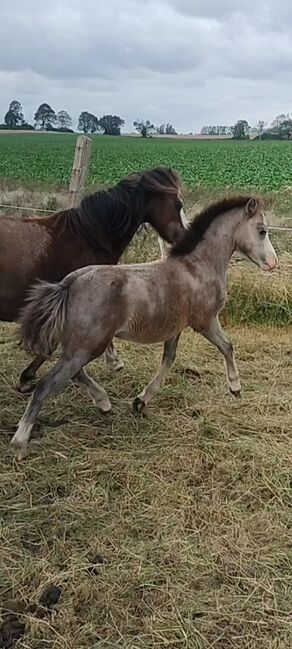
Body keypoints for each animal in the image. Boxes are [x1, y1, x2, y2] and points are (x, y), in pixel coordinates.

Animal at [11, 195, 278, 458]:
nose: (273, 263)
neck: (198, 266)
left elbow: (168, 359)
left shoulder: (175, 328)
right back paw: (20, 443)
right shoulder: (204, 321)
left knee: (74, 374)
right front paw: (235, 387)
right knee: (46, 386)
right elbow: (227, 346)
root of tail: (69, 283)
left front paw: (140, 401)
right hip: (87, 347)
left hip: (81, 346)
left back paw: (104, 403)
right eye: (262, 230)